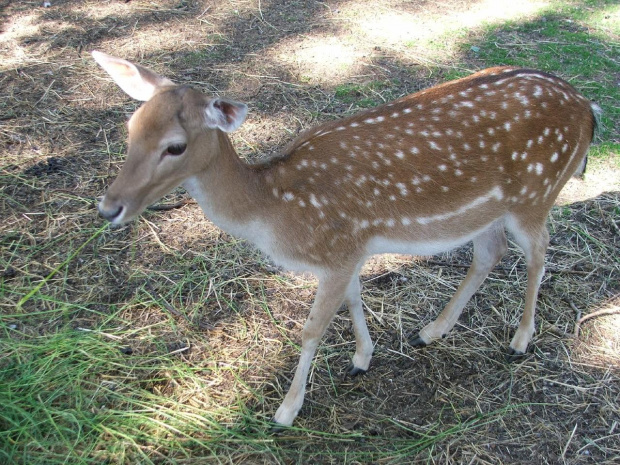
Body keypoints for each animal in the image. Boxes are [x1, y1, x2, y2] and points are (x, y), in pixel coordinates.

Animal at [93, 49, 600, 424]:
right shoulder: (350, 248)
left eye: (175, 146)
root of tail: (588, 107)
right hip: (491, 211)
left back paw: (520, 340)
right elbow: (355, 298)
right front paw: (362, 357)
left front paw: (287, 410)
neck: (275, 209)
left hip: (536, 192)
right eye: (130, 126)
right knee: (490, 253)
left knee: (539, 252)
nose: (109, 206)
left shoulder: (336, 252)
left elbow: (312, 328)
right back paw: (431, 331)